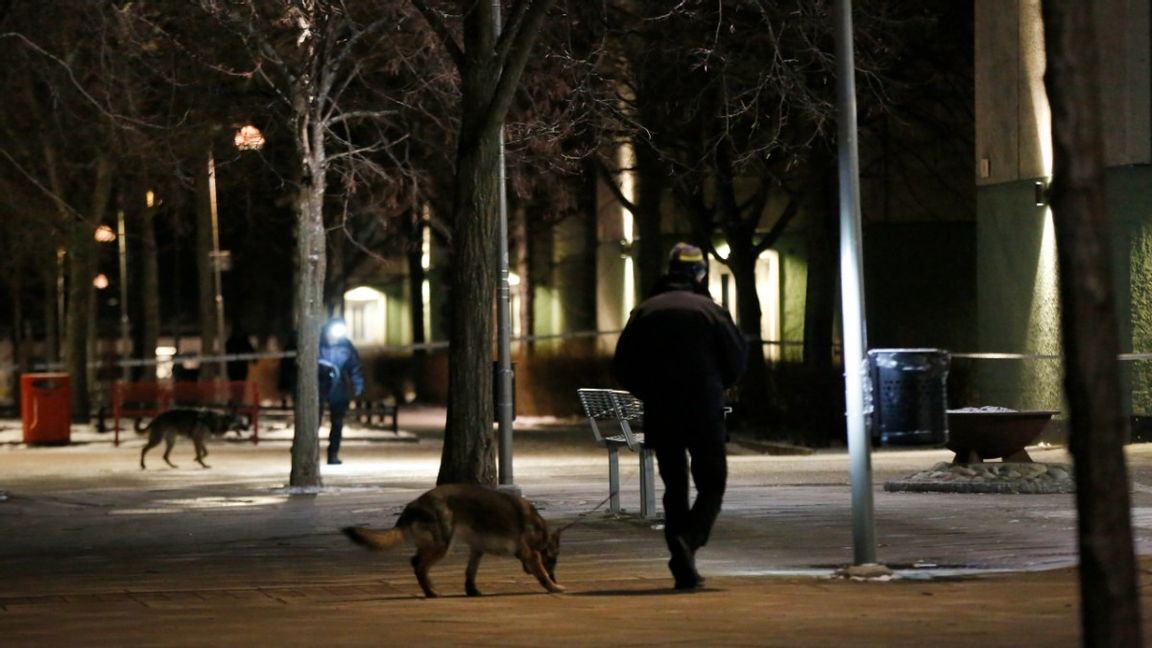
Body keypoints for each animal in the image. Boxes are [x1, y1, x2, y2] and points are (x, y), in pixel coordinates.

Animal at [340, 481, 566, 599]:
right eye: (552, 560)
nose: (556, 578)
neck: (540, 530)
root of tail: (413, 505)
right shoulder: (531, 553)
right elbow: (541, 573)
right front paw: (553, 587)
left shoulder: (477, 550)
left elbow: (470, 572)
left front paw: (471, 591)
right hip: (442, 545)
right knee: (419, 565)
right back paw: (430, 591)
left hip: (434, 544)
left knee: (416, 562)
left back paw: (429, 588)